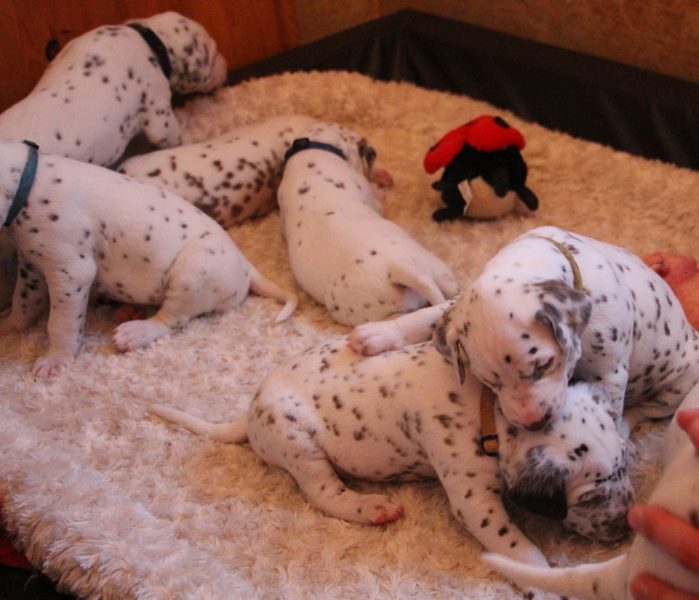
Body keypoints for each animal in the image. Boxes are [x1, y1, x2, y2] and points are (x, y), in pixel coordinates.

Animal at [0, 140, 296, 378]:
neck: (28, 183)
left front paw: (55, 359)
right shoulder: (31, 266)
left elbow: (60, 323)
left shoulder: (70, 272)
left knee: (171, 319)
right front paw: (9, 324)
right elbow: (23, 303)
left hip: (192, 273)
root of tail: (246, 268)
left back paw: (136, 331)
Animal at [351, 226, 699, 432]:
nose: (532, 424)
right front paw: (379, 333)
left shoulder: (610, 374)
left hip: (679, 383)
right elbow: (430, 314)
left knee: (646, 411)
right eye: (489, 380)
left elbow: (611, 409)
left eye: (543, 365)